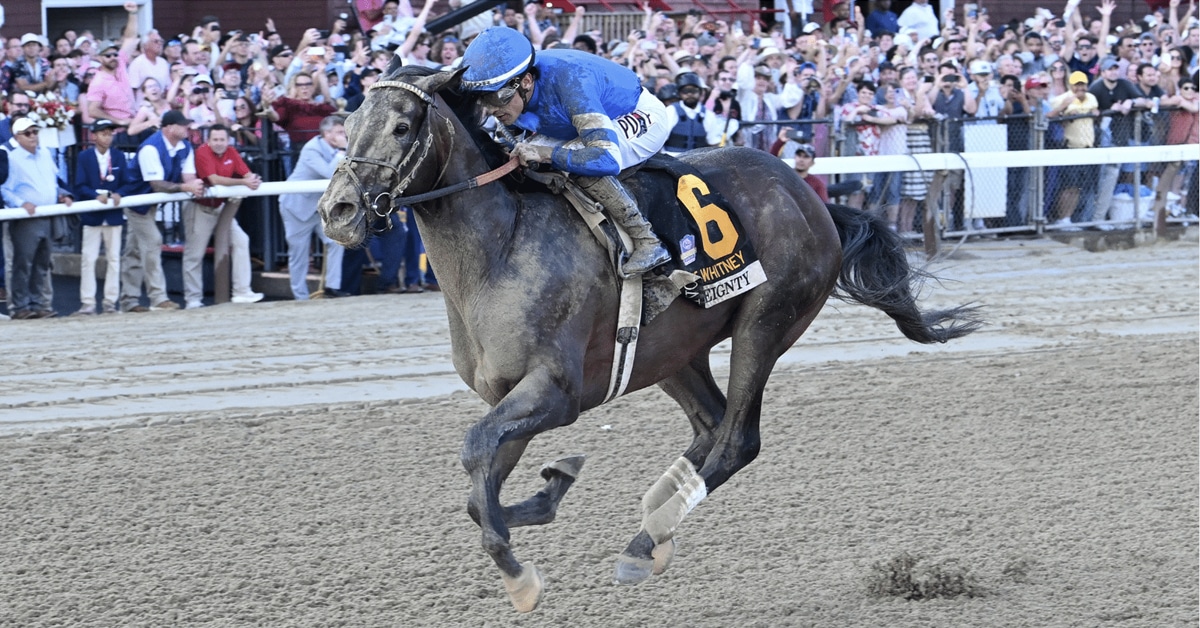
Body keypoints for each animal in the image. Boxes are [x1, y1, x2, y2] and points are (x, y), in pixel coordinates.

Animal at [317, 63, 981, 612]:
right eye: (346, 124)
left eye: (403, 126)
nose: (338, 212)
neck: (501, 249)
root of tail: (810, 196)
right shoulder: (511, 395)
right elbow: (481, 485)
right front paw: (552, 487)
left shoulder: (555, 392)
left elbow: (476, 455)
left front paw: (519, 573)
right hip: (670, 353)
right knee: (710, 426)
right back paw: (656, 526)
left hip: (766, 321)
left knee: (735, 440)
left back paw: (643, 544)